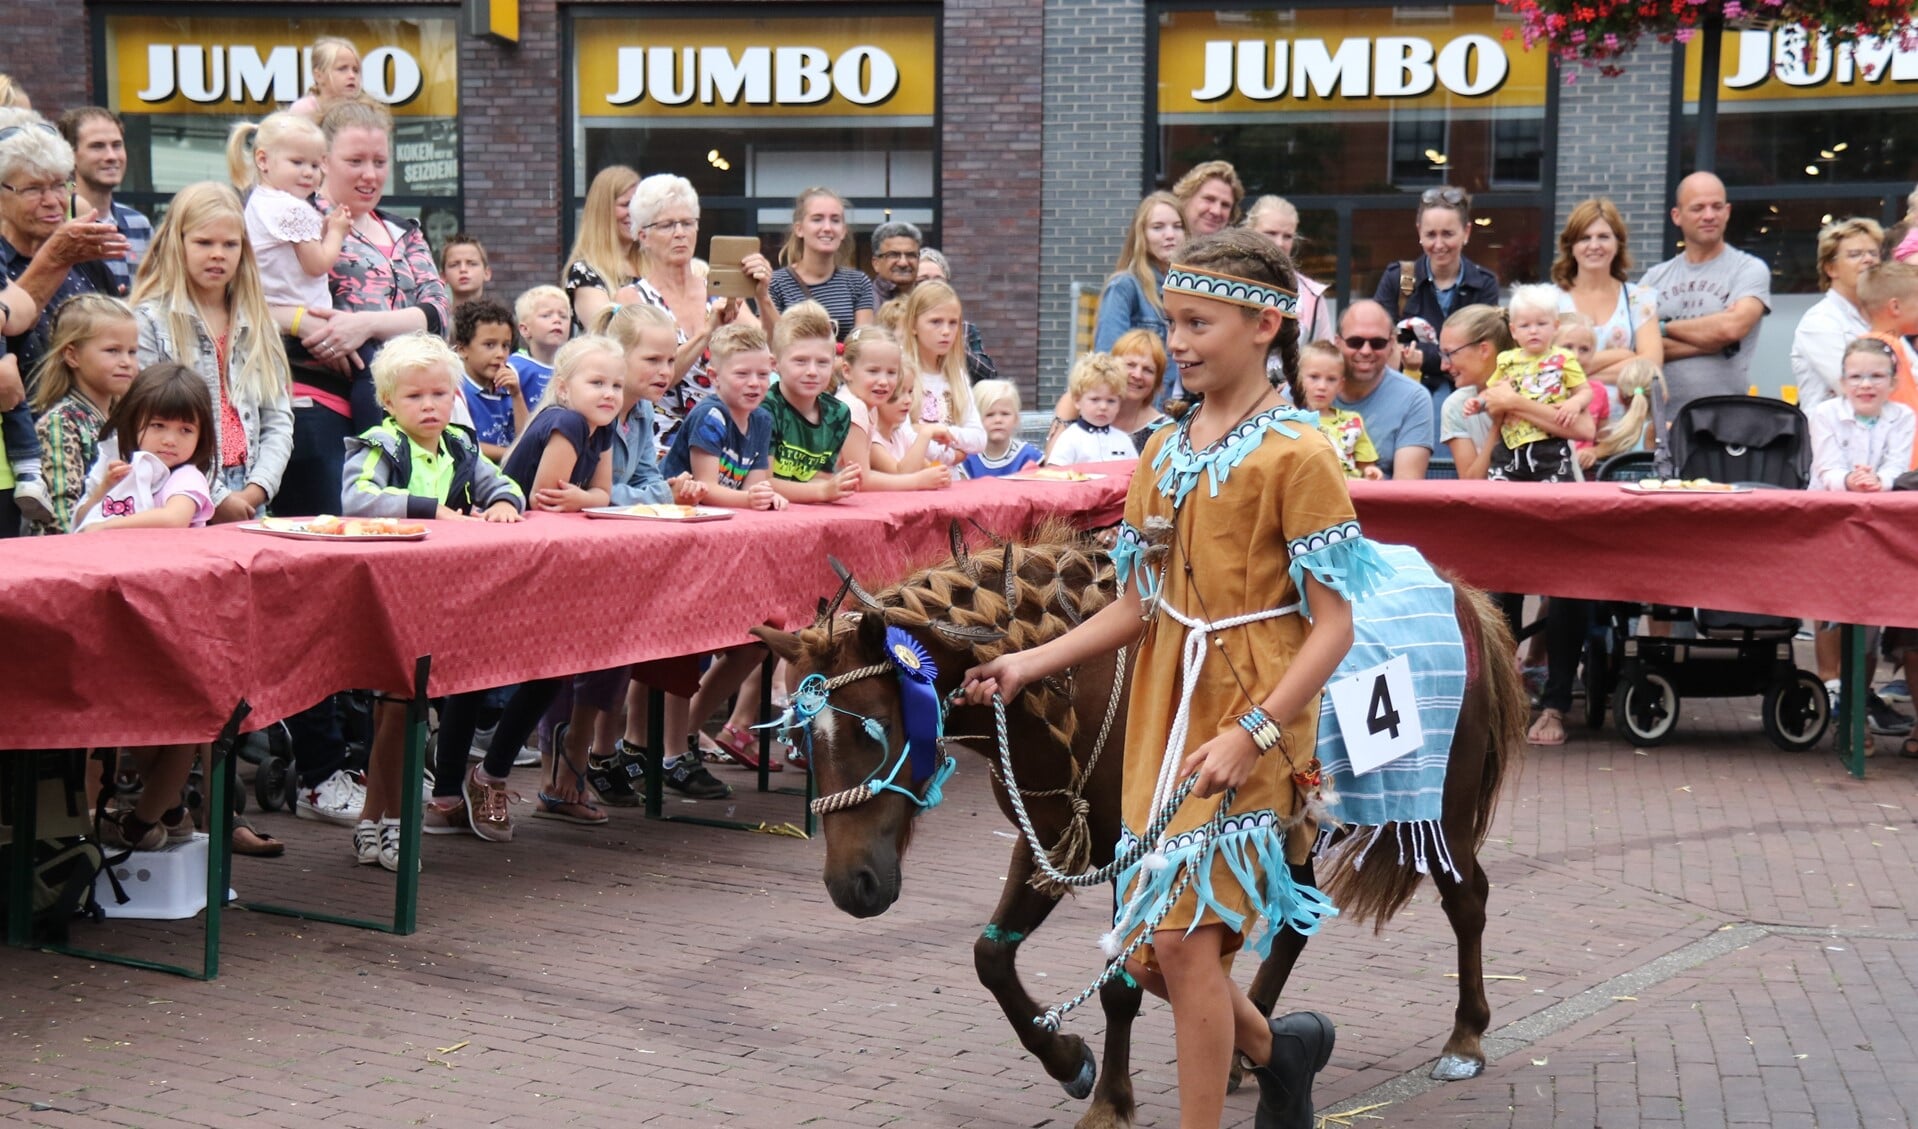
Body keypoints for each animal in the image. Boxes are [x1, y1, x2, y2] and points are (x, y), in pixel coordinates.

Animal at [755, 525, 1519, 1119]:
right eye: (801, 739)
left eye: (875, 728)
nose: (852, 885)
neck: (1074, 685)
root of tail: (1460, 591)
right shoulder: (1053, 839)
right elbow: (990, 955)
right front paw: (1068, 1060)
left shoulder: (1138, 855)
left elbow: (1121, 982)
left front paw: (1109, 1102)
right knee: (1297, 922)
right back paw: (1254, 1051)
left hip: (1443, 807)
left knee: (1468, 900)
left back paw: (1465, 1039)